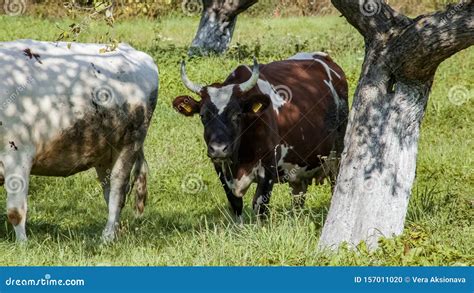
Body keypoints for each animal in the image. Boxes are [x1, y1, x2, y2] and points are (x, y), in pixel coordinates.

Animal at [0, 40, 159, 241]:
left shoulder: (17, 154)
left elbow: (15, 211)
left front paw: (23, 244)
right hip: (105, 153)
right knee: (109, 192)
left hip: (130, 143)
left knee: (118, 192)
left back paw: (107, 237)